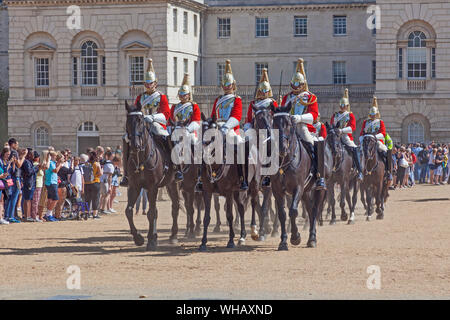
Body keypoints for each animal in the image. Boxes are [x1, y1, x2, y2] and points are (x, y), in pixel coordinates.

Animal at [123, 100, 181, 250]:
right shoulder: (134, 187)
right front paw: (138, 238)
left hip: (174, 183)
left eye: (140, 120)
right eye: (127, 121)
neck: (141, 159)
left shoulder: (152, 187)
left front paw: (150, 241)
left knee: (175, 206)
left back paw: (173, 236)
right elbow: (129, 211)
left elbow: (150, 213)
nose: (135, 145)